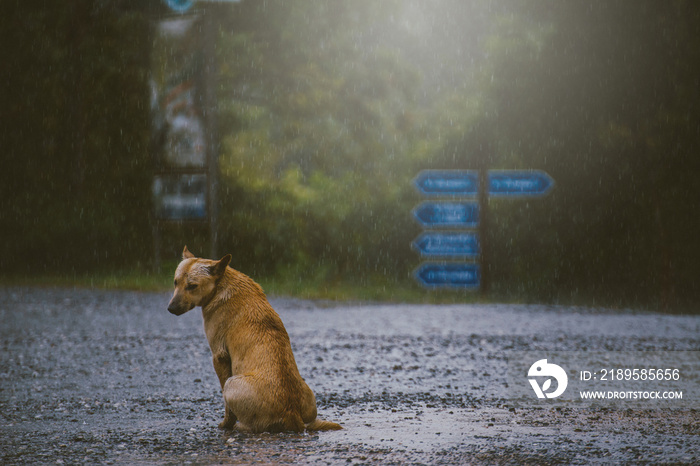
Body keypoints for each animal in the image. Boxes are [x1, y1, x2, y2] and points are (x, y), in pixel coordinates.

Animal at [170, 248, 342, 434]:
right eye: (175, 283)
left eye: (192, 286)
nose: (170, 308)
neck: (222, 284)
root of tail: (292, 414)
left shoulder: (219, 356)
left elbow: (228, 409)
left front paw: (225, 424)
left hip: (231, 384)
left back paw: (239, 426)